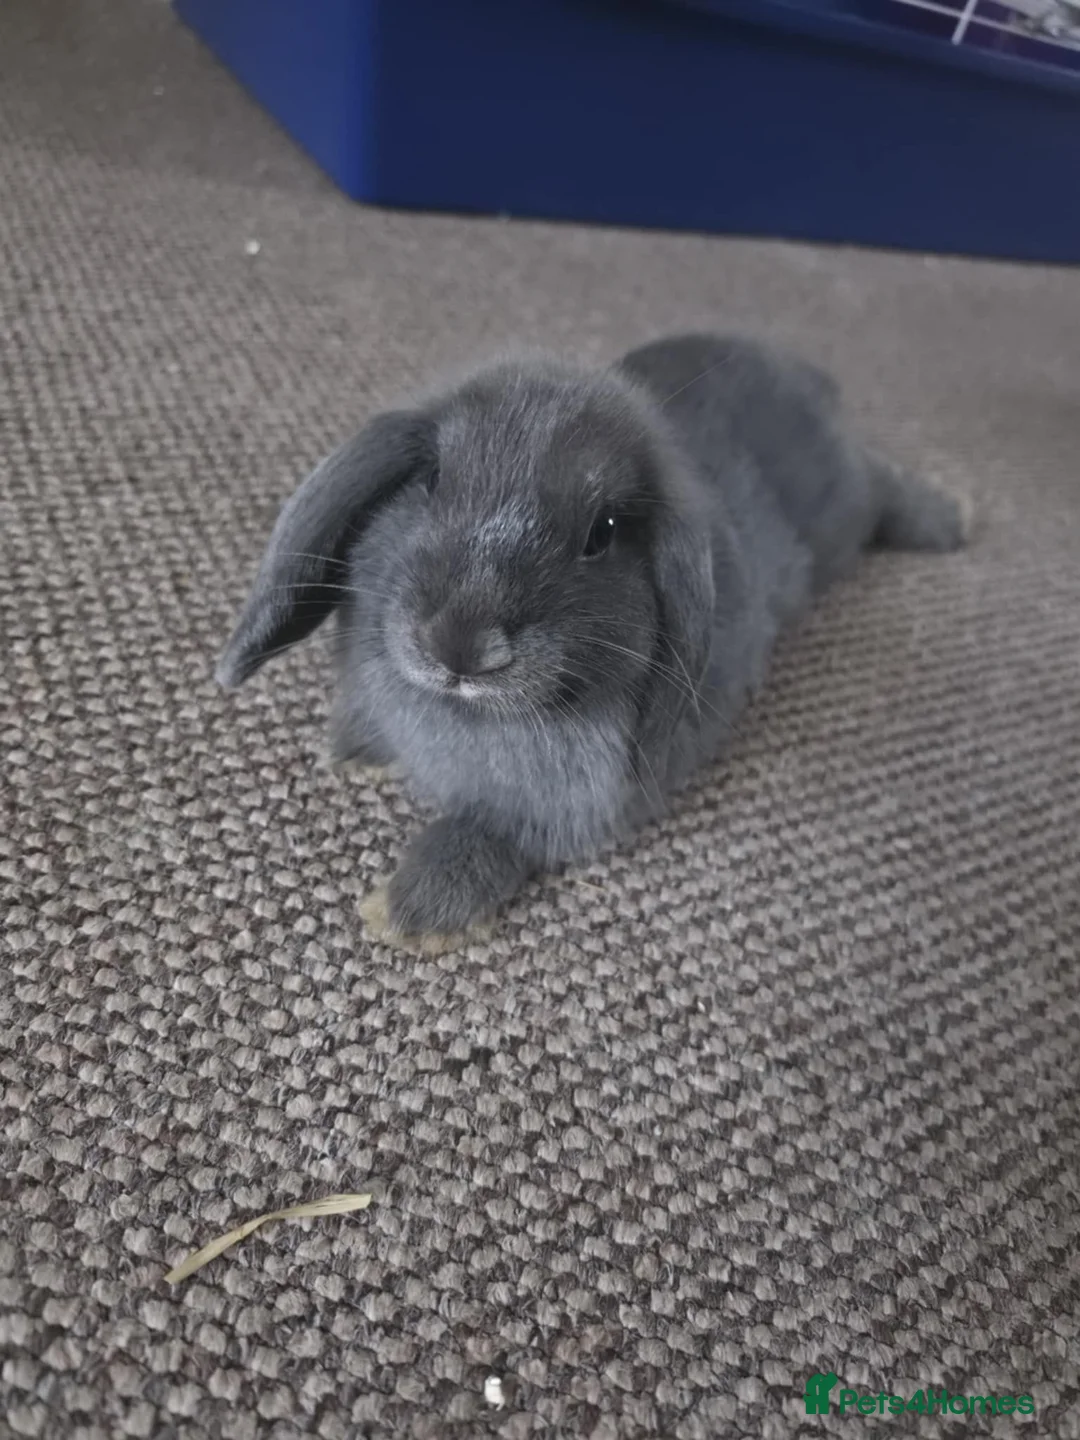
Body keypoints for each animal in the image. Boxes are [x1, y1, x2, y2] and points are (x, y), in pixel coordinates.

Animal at [216, 333, 970, 946]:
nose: (460, 646)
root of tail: (808, 375)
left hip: (845, 509)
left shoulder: (563, 808)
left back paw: (953, 520)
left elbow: (491, 832)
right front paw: (350, 750)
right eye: (430, 480)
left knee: (882, 487)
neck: (461, 715)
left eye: (602, 533)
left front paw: (408, 914)